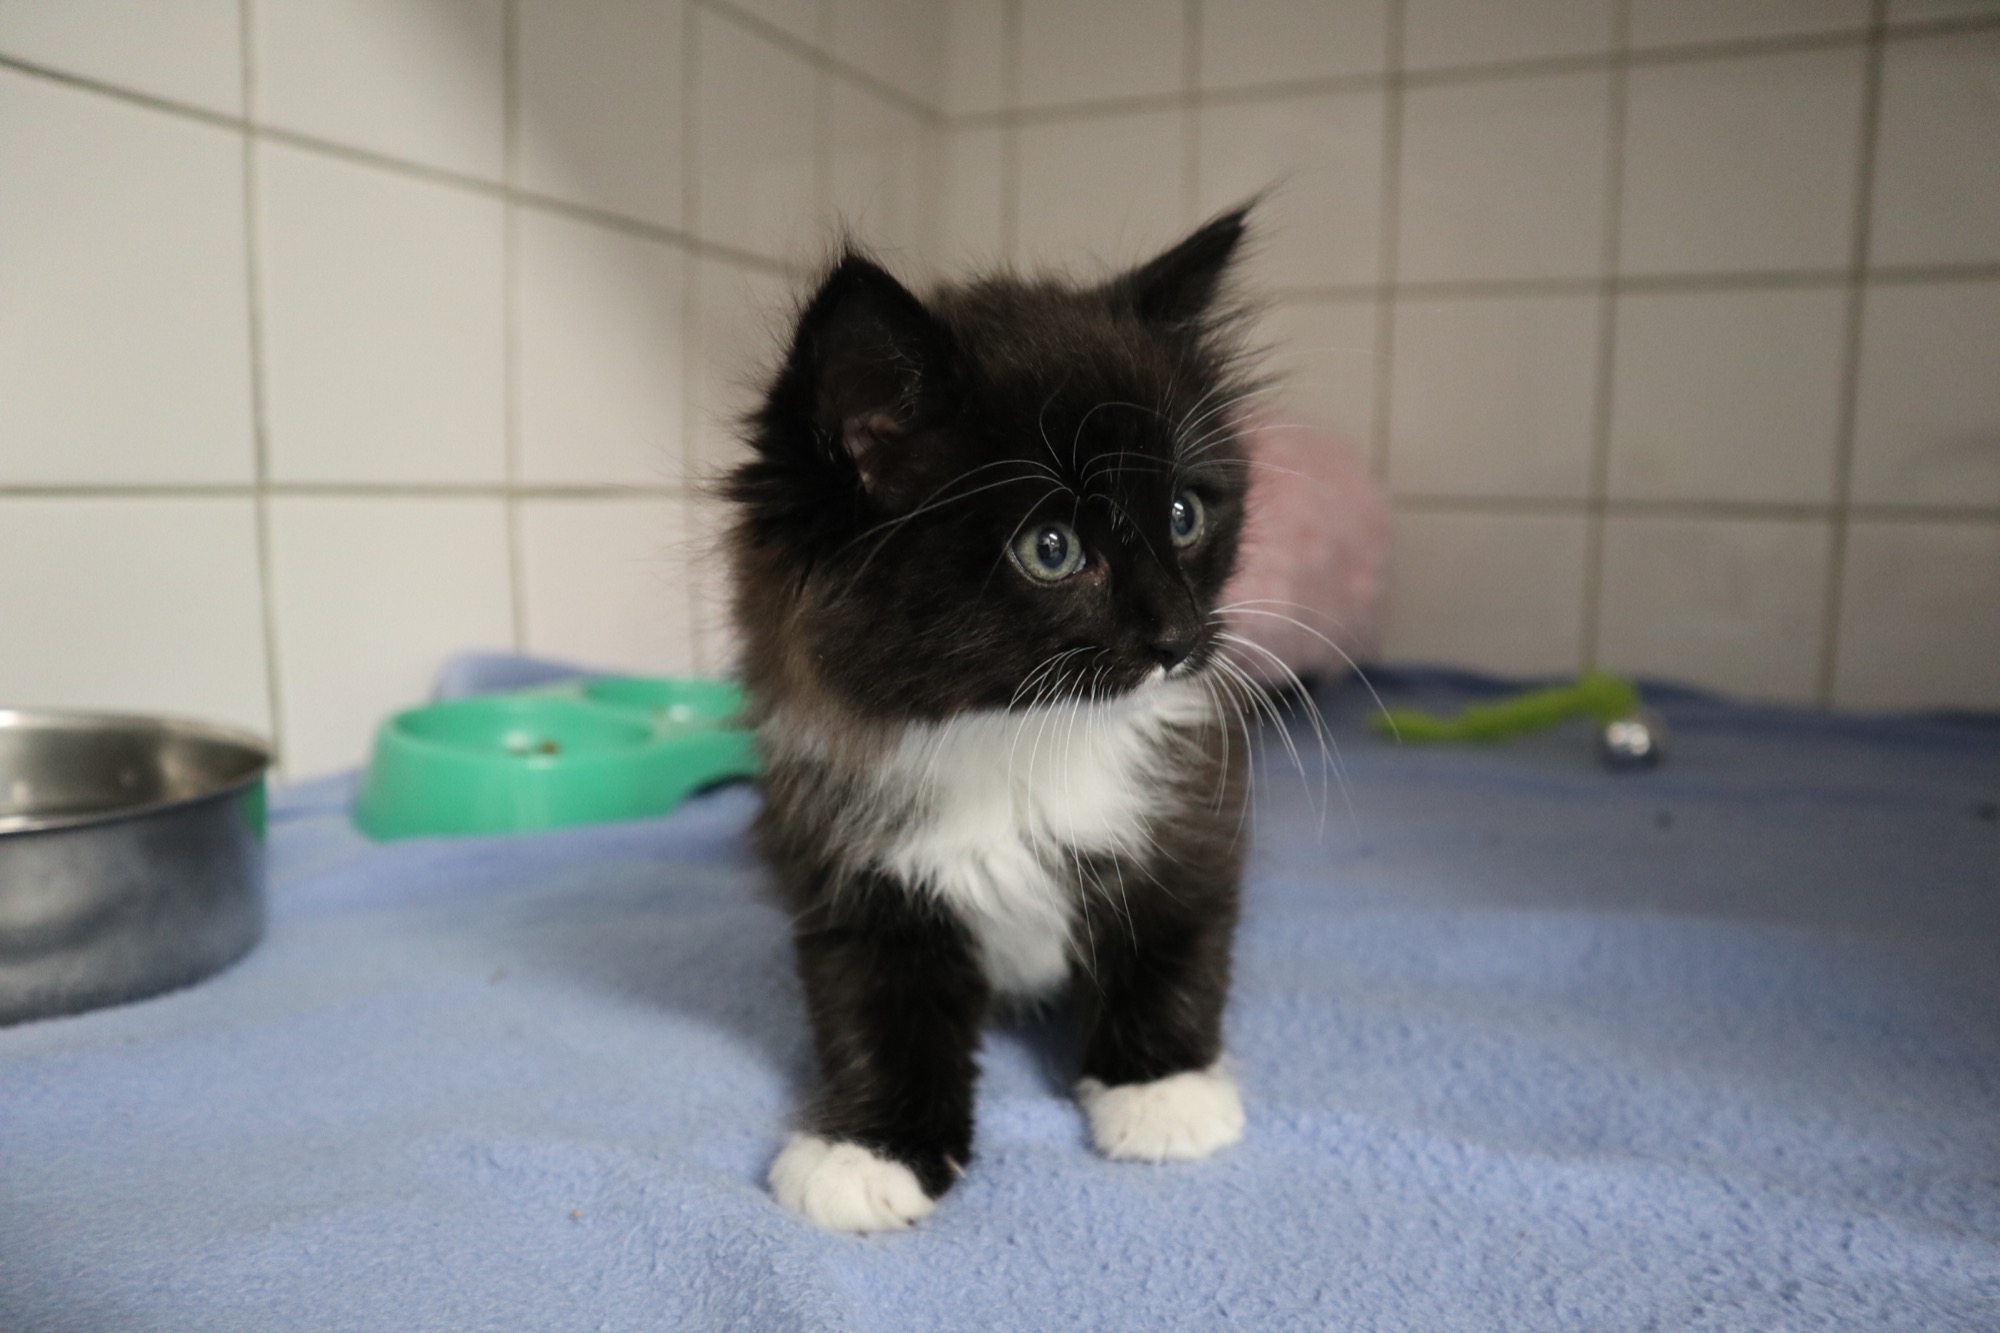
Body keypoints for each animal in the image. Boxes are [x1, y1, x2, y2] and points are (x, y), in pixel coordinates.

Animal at [724, 207, 1258, 1232]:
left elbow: (1178, 939)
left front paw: (1162, 1091)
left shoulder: (1196, 810)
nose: (1179, 637)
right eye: (1052, 549)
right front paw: (869, 1149)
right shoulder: (848, 870)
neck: (1015, 737)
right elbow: (873, 1012)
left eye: (1183, 515)